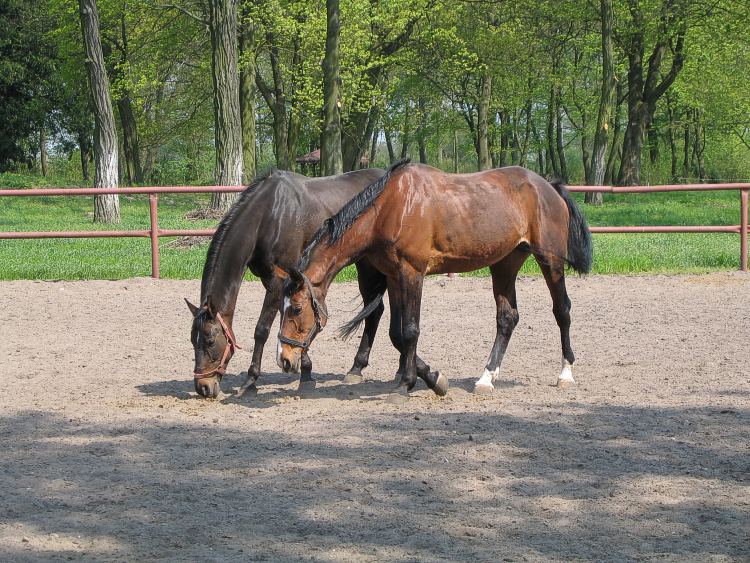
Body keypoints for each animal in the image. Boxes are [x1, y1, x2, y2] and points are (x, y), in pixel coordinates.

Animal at [187, 170, 388, 398]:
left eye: (210, 341)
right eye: (192, 340)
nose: (203, 387)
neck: (269, 215)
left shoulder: (278, 282)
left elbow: (262, 330)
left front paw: (252, 380)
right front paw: (304, 370)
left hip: (368, 267)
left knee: (374, 311)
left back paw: (357, 367)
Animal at [274, 159, 592, 396]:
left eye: (297, 308)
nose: (284, 359)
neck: (391, 209)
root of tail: (548, 186)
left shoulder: (413, 273)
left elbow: (410, 330)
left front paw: (408, 383)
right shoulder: (394, 277)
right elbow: (396, 333)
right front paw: (429, 377)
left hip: (550, 261)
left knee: (562, 310)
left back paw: (565, 373)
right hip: (505, 264)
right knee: (507, 318)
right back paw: (486, 378)